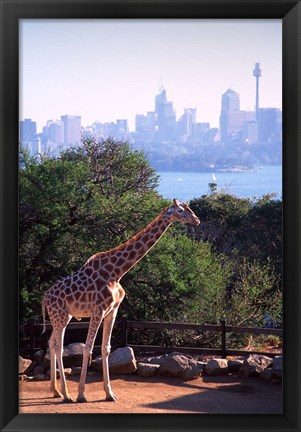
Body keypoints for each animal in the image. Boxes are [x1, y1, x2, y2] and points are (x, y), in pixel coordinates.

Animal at [41, 198, 199, 402]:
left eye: (189, 209)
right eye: (180, 211)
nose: (196, 220)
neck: (117, 272)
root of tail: (45, 297)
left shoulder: (112, 310)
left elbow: (106, 348)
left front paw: (109, 393)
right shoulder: (98, 310)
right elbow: (88, 348)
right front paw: (82, 394)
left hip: (63, 316)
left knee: (51, 343)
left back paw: (56, 391)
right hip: (59, 316)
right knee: (58, 346)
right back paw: (67, 394)